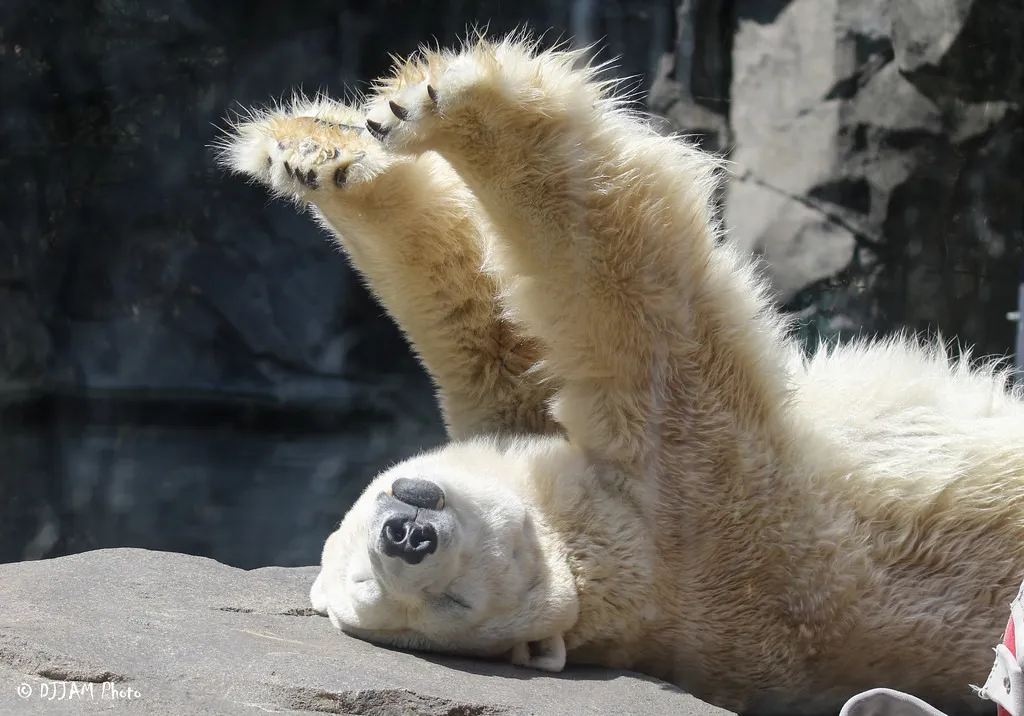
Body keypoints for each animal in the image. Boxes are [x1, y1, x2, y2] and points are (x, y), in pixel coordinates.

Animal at [219, 34, 1024, 716]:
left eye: (359, 548)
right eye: (445, 605)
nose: (406, 535)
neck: (595, 566)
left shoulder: (539, 434)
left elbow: (485, 323)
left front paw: (324, 145)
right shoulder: (691, 506)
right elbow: (625, 283)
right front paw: (443, 103)